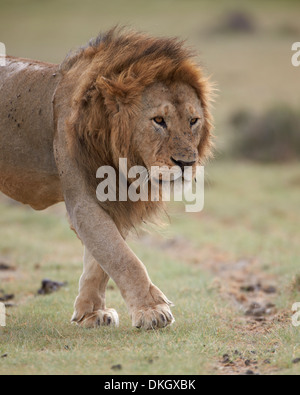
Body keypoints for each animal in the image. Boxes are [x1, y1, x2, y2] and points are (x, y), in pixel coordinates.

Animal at [0, 28, 213, 332]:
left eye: (193, 121)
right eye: (159, 120)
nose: (186, 163)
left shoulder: (115, 200)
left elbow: (100, 260)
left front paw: (90, 313)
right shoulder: (82, 201)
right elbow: (122, 257)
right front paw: (152, 310)